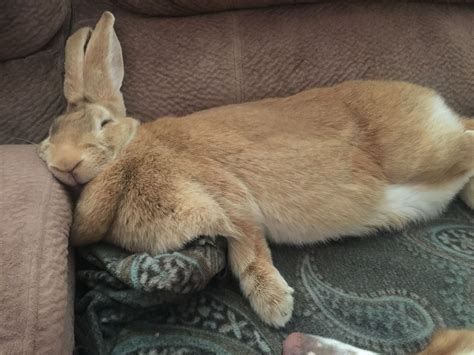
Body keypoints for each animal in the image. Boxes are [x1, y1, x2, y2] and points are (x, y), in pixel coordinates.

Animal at [39, 11, 474, 328]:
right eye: (47, 139)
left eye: (103, 123)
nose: (65, 164)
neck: (129, 153)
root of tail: (436, 103)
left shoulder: (225, 194)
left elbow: (246, 247)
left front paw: (275, 307)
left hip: (421, 152)